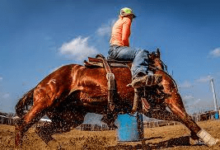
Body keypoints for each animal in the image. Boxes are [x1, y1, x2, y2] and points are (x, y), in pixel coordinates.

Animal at [15, 49, 218, 148]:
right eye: (161, 64)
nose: (163, 73)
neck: (151, 72)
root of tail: (39, 85)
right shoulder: (172, 98)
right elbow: (186, 117)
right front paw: (208, 139)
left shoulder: (153, 109)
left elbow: (179, 118)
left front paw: (195, 137)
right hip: (45, 103)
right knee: (22, 125)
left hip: (70, 118)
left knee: (42, 129)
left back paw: (58, 146)